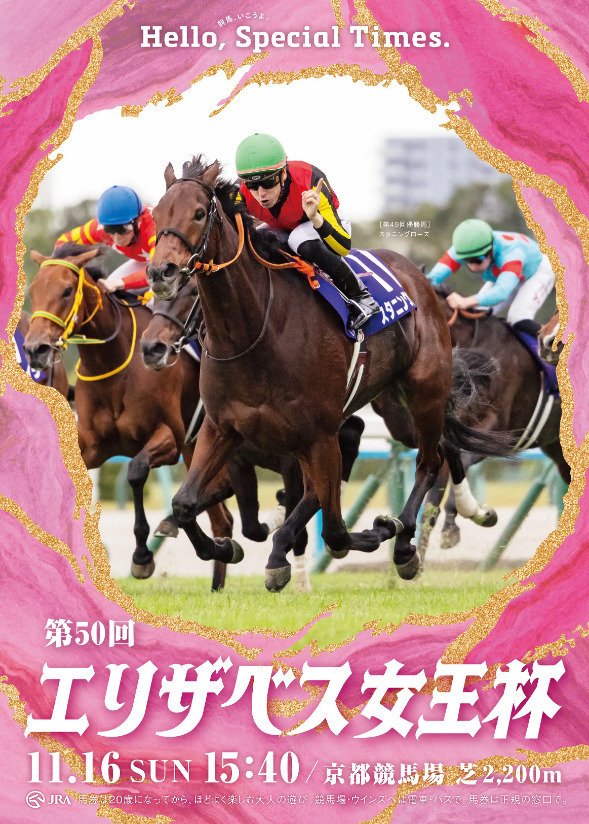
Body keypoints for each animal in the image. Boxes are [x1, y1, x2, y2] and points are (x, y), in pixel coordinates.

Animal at [24, 243, 236, 579]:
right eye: (33, 290)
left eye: (67, 290)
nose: (35, 350)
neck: (113, 364)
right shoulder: (91, 446)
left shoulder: (168, 438)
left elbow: (136, 471)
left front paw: (142, 556)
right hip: (195, 448)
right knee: (222, 517)